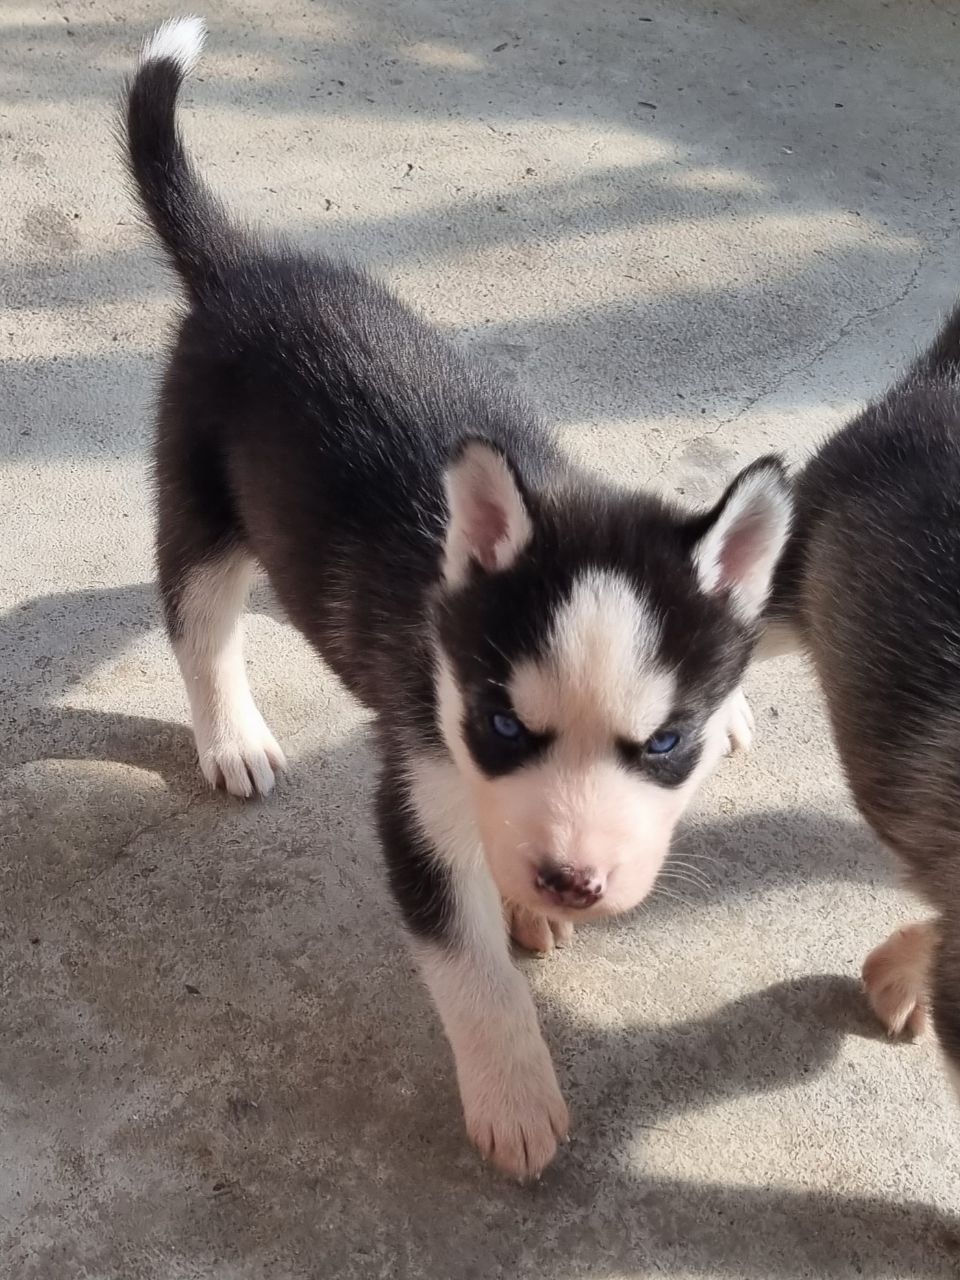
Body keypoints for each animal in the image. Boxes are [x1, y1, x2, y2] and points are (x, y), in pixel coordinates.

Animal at [124, 20, 793, 1177]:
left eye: (667, 744)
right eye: (499, 724)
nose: (572, 880)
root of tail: (244, 266)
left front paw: (530, 906)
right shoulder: (417, 787)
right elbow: (471, 971)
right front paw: (516, 1097)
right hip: (202, 509)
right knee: (198, 624)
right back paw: (233, 737)